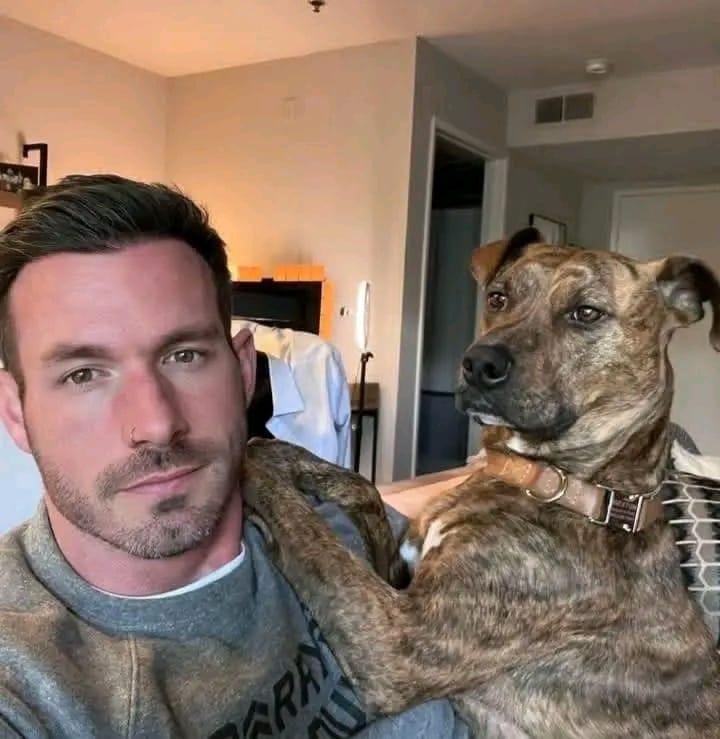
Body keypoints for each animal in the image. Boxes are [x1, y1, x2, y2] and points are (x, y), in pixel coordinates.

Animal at [244, 228, 720, 737]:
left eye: (586, 313)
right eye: (498, 297)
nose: (478, 363)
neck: (572, 487)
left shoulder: (399, 639)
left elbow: (311, 537)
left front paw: (247, 465)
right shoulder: (396, 578)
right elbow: (359, 487)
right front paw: (284, 456)